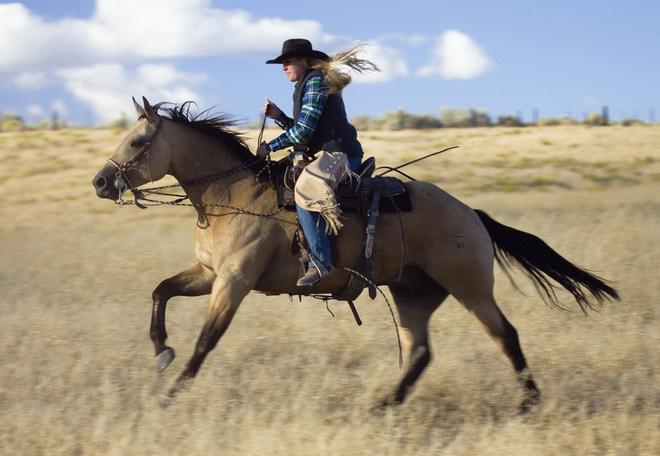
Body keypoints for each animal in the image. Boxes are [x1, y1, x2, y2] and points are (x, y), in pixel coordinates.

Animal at [90, 97, 616, 410]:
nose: (100, 181)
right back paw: (384, 406)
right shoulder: (206, 273)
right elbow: (160, 292)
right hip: (412, 293)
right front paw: (161, 352)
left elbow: (206, 340)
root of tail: (471, 213)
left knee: (505, 335)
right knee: (419, 351)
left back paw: (529, 403)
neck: (231, 193)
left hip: (470, 288)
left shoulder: (233, 282)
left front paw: (170, 396)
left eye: (138, 140)